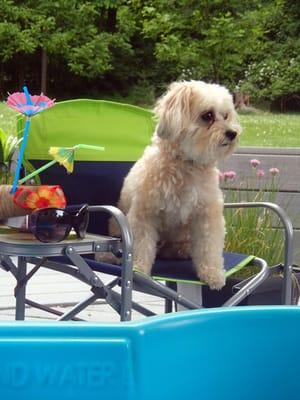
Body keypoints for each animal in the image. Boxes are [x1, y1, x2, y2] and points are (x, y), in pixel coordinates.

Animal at [109, 79, 240, 290]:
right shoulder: (144, 214)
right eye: (208, 115)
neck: (187, 165)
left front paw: (212, 274)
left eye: (226, 115)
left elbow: (209, 248)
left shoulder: (207, 216)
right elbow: (141, 245)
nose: (233, 133)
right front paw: (138, 269)